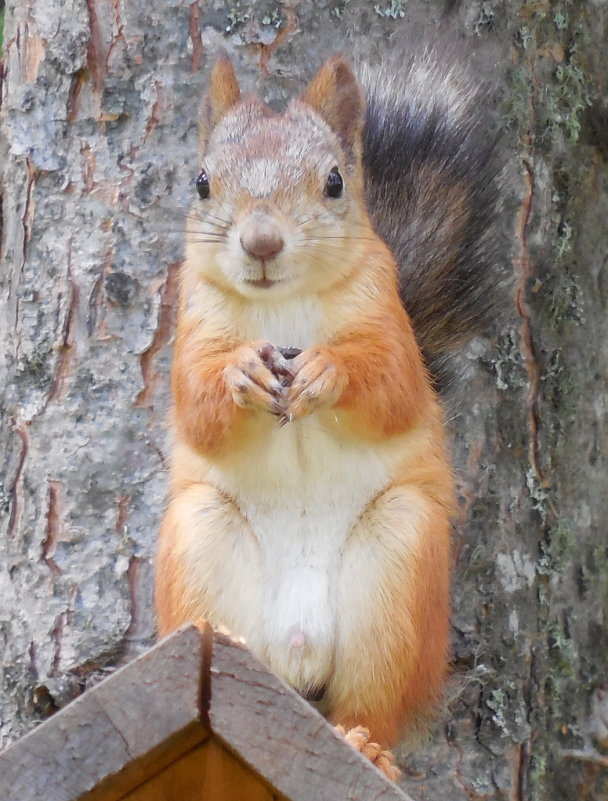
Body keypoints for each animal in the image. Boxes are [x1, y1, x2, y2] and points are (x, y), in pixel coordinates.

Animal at [156, 47, 498, 780]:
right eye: (202, 182)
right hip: (203, 540)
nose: (261, 241)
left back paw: (364, 743)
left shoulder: (389, 324)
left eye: (336, 182)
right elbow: (196, 402)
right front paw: (240, 373)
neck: (282, 305)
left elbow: (393, 386)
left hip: (398, 576)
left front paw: (327, 372)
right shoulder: (190, 330)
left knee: (373, 703)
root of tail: (298, 650)